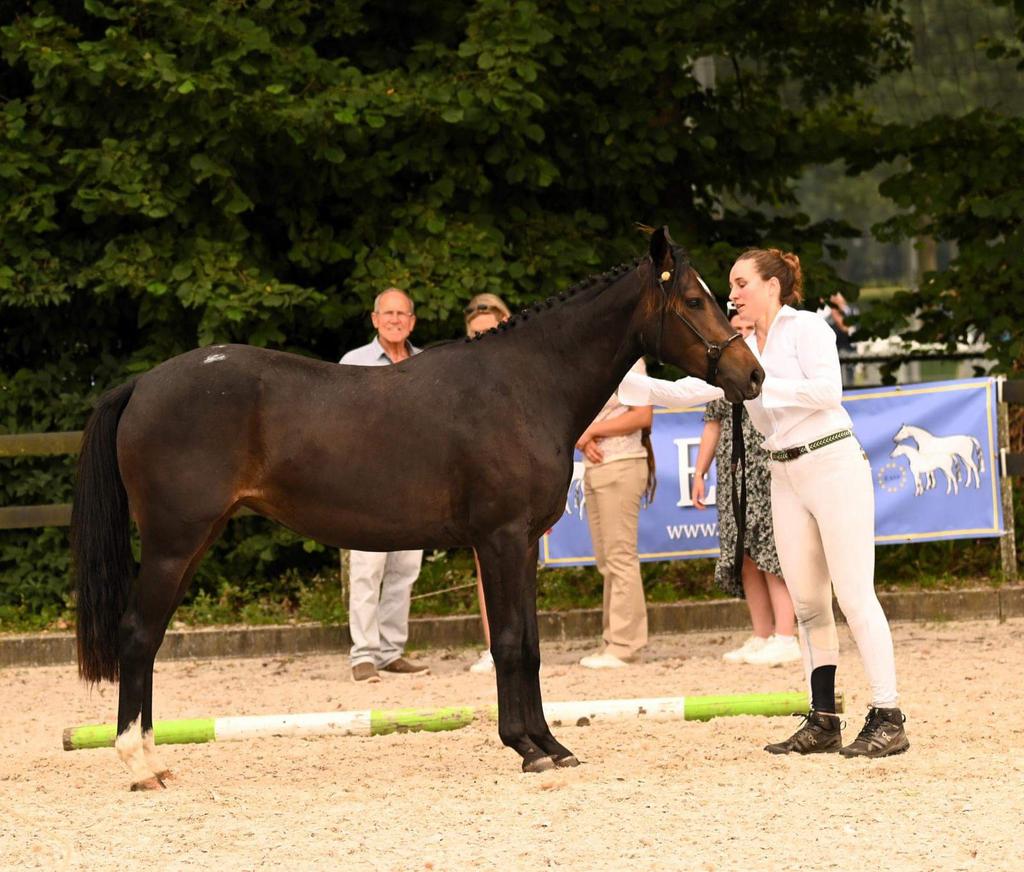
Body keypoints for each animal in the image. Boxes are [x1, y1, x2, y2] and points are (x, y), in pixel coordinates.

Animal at [71, 226, 764, 790]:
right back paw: (138, 763)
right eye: (695, 301)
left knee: (151, 639)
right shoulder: (500, 539)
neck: (526, 383)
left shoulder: (519, 547)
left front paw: (547, 743)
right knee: (137, 636)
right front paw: (528, 749)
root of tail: (143, 384)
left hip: (194, 539)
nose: (751, 375)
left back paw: (155, 759)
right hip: (173, 543)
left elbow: (530, 643)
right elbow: (509, 642)